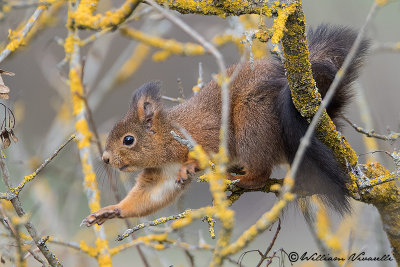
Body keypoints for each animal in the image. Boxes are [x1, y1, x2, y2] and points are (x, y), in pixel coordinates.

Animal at [82, 24, 368, 226]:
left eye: (128, 139)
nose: (106, 159)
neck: (166, 136)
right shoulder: (160, 175)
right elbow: (150, 196)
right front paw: (111, 211)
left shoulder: (201, 133)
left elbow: (211, 148)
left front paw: (190, 166)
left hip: (253, 122)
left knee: (260, 174)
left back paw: (238, 178)